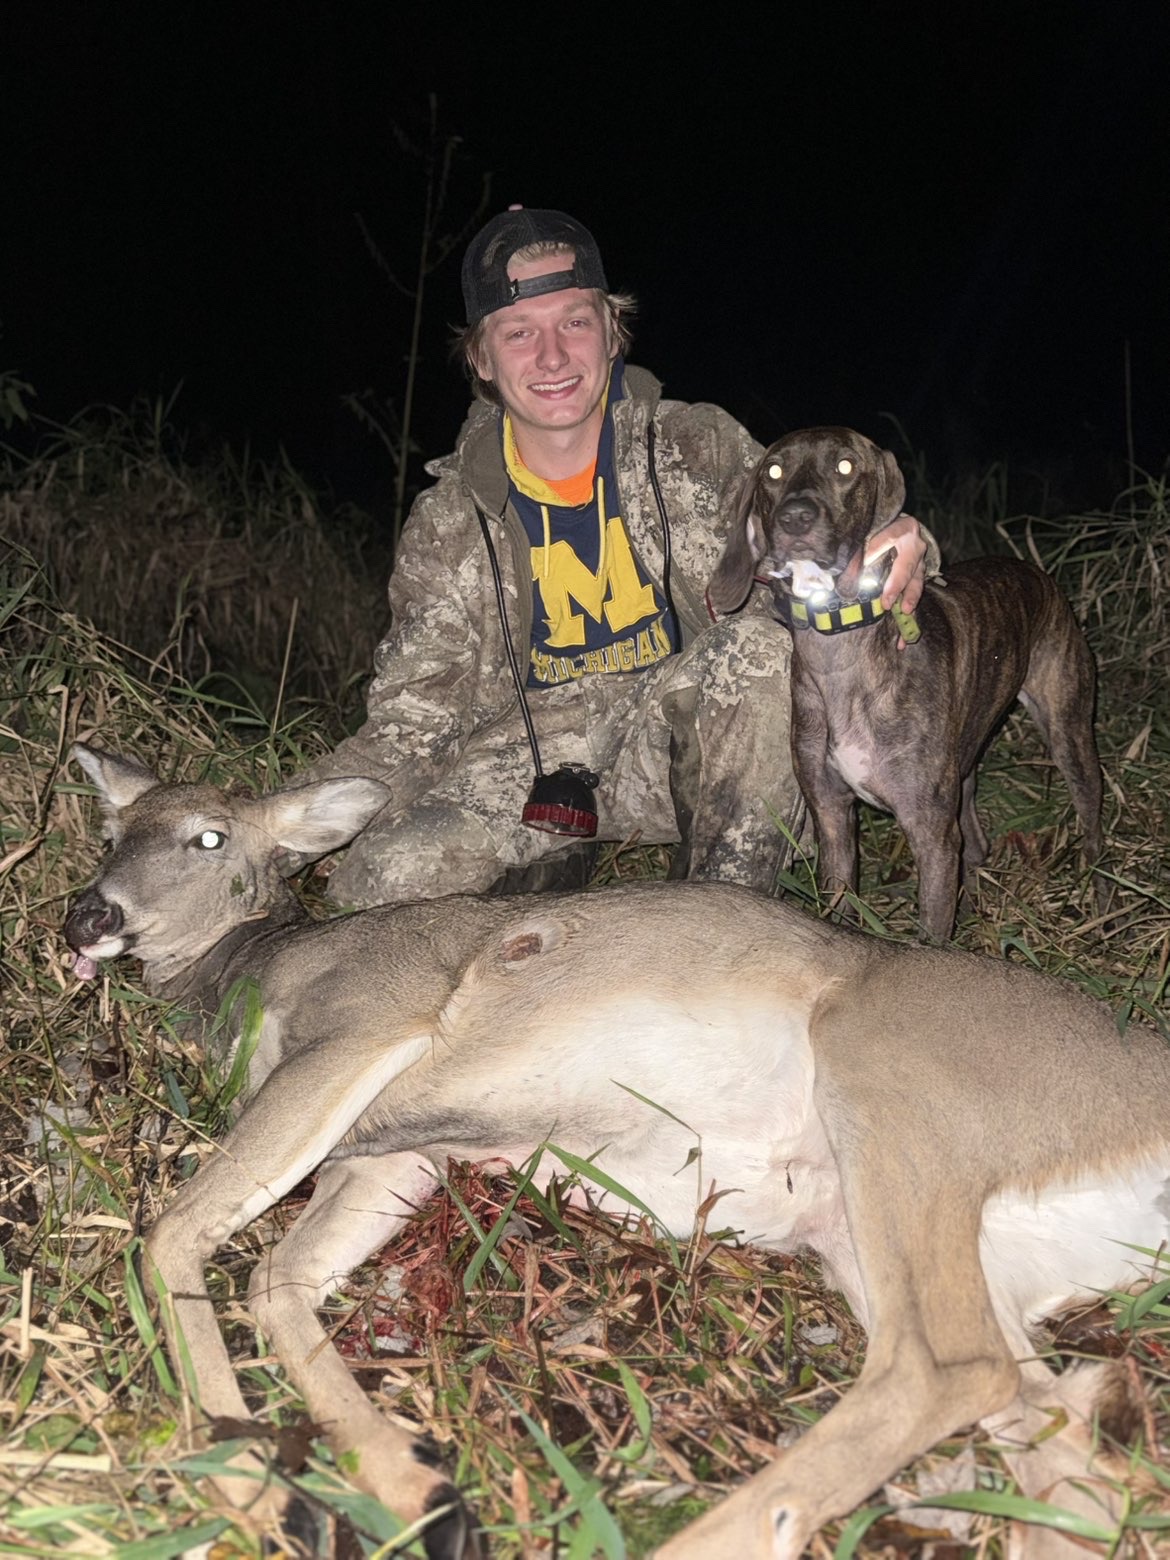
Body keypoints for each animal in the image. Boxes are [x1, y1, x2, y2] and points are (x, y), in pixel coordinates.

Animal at [63, 741, 1169, 1559]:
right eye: (111, 831)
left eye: (208, 836)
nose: (88, 911)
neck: (253, 976)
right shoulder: (394, 1153)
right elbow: (278, 1281)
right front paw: (415, 1490)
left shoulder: (367, 1022)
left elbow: (173, 1235)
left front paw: (258, 1490)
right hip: (905, 1239)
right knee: (1067, 1438)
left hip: (897, 1089)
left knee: (939, 1368)